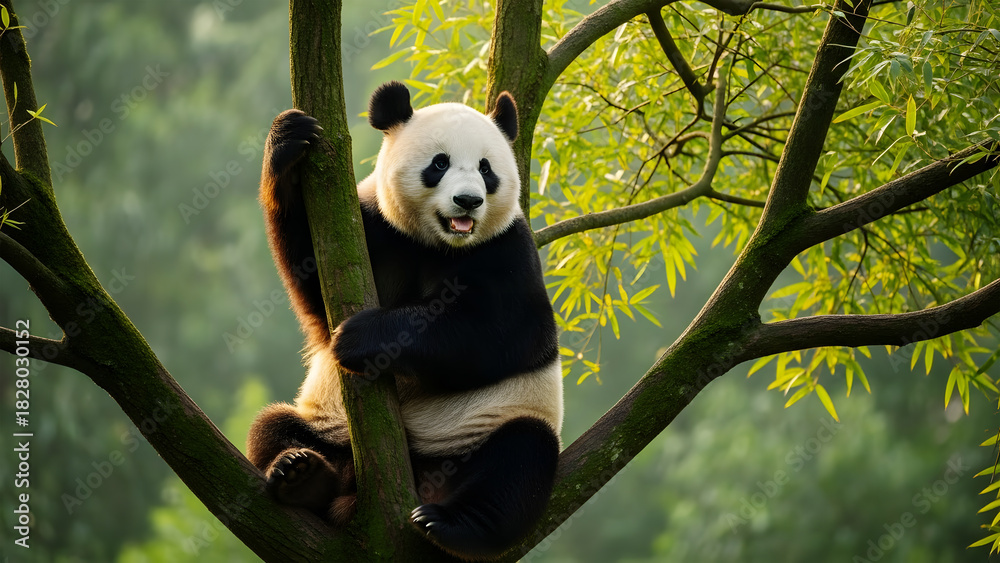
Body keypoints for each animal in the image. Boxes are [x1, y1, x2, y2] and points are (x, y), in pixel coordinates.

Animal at [246, 81, 563, 561]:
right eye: (440, 163)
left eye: (487, 169)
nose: (468, 201)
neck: (439, 243)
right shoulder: (373, 228)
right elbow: (312, 279)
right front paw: (290, 140)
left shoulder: (508, 250)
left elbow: (503, 333)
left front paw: (362, 338)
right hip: (332, 430)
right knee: (275, 427)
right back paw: (301, 476)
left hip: (481, 431)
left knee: (520, 462)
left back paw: (448, 523)